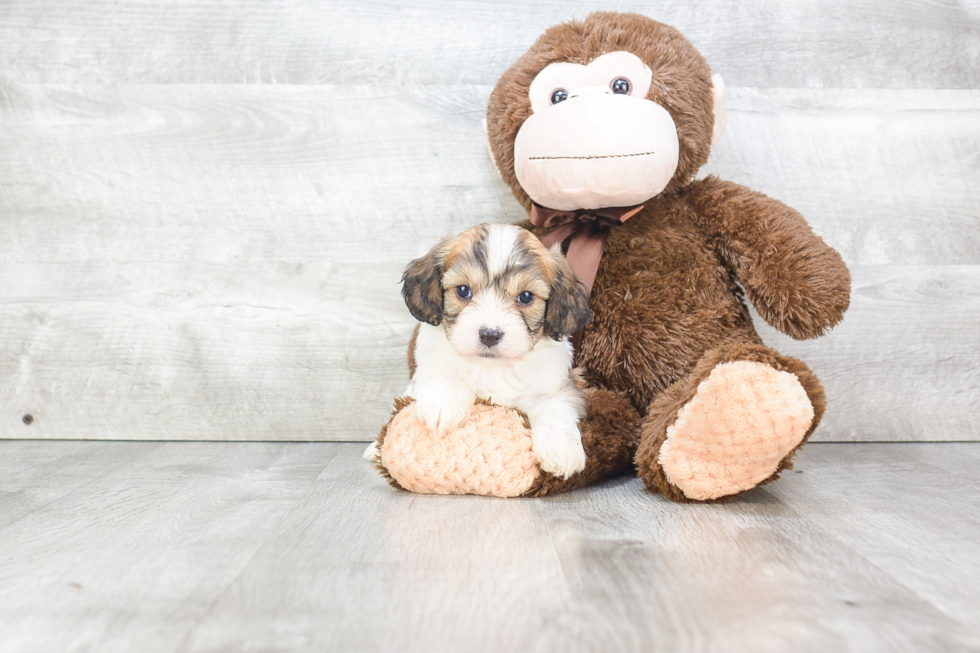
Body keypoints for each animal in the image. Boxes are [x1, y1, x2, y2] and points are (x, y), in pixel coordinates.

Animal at [366, 224, 588, 478]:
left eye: (526, 296)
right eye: (463, 290)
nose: (489, 334)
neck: (492, 367)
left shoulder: (557, 384)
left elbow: (556, 408)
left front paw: (562, 450)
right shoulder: (427, 367)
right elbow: (442, 375)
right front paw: (442, 403)